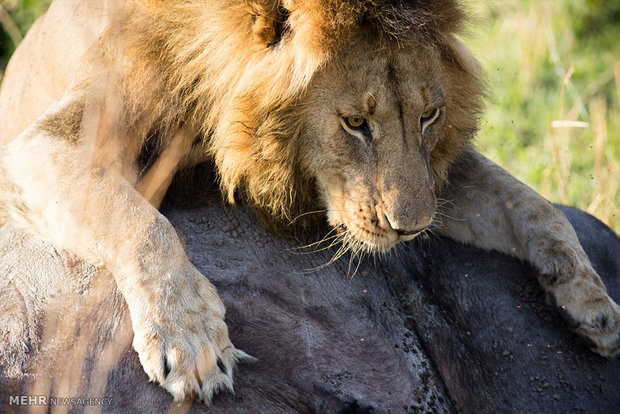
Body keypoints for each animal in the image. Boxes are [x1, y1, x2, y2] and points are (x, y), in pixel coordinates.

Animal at [1, 0, 620, 404]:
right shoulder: (40, 144)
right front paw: (190, 336)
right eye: (354, 123)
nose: (410, 230)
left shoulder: (434, 178)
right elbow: (137, 220)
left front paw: (589, 301)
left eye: (430, 115)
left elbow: (529, 202)